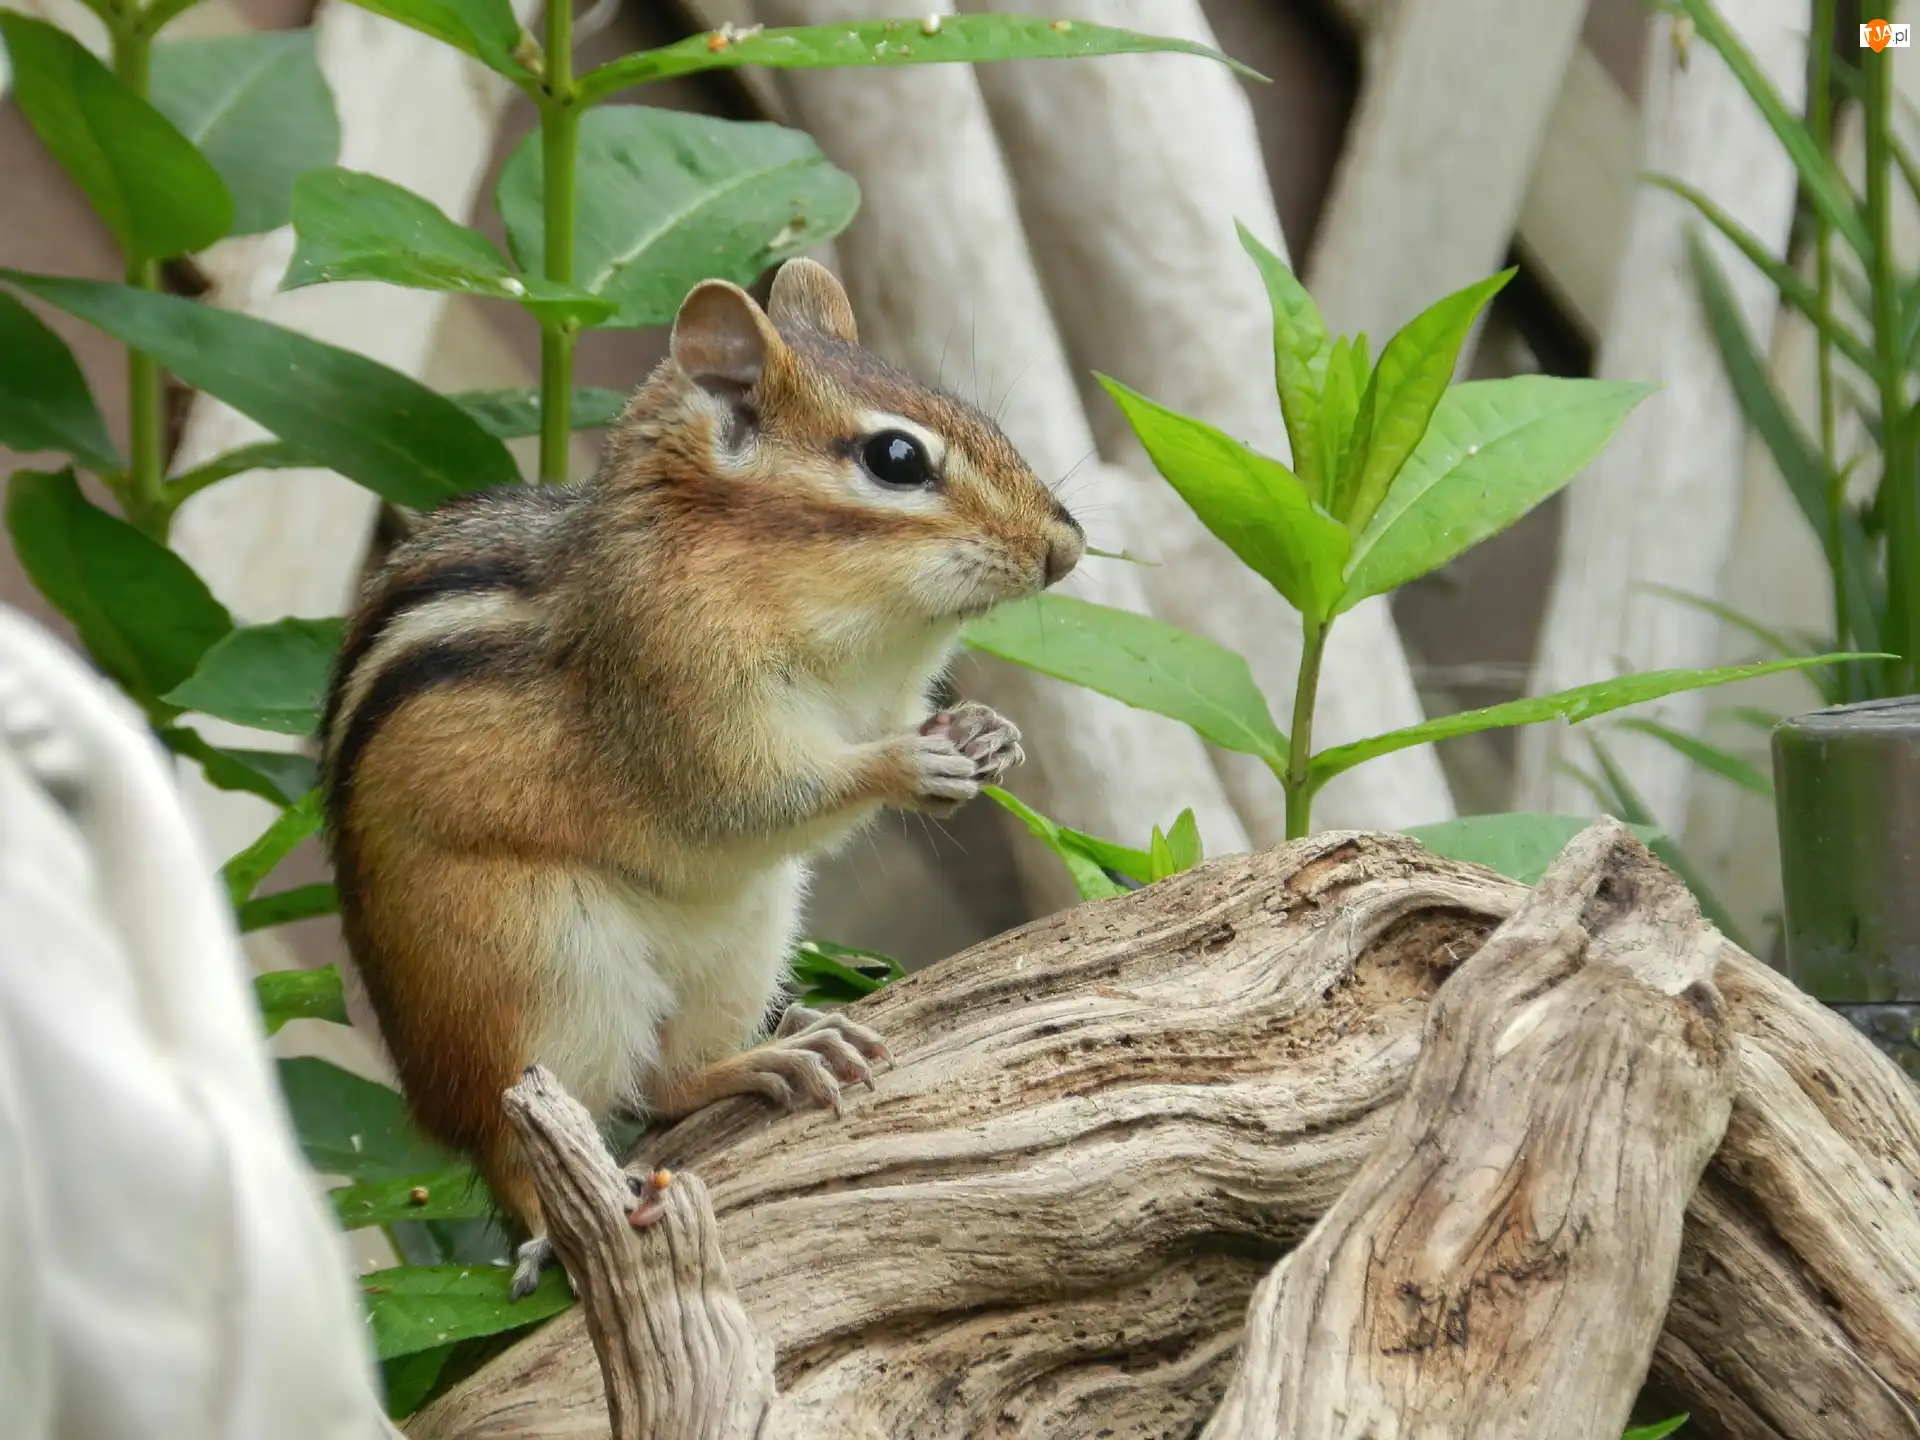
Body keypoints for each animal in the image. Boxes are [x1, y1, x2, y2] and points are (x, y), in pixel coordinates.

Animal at [317, 258, 1085, 1294]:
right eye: (895, 458)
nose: (1066, 546)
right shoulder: (672, 695)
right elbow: (751, 796)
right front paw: (909, 762)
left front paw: (986, 733)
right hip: (531, 966)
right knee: (524, 1144)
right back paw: (557, 1225)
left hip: (747, 937)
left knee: (664, 1085)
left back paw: (780, 1055)